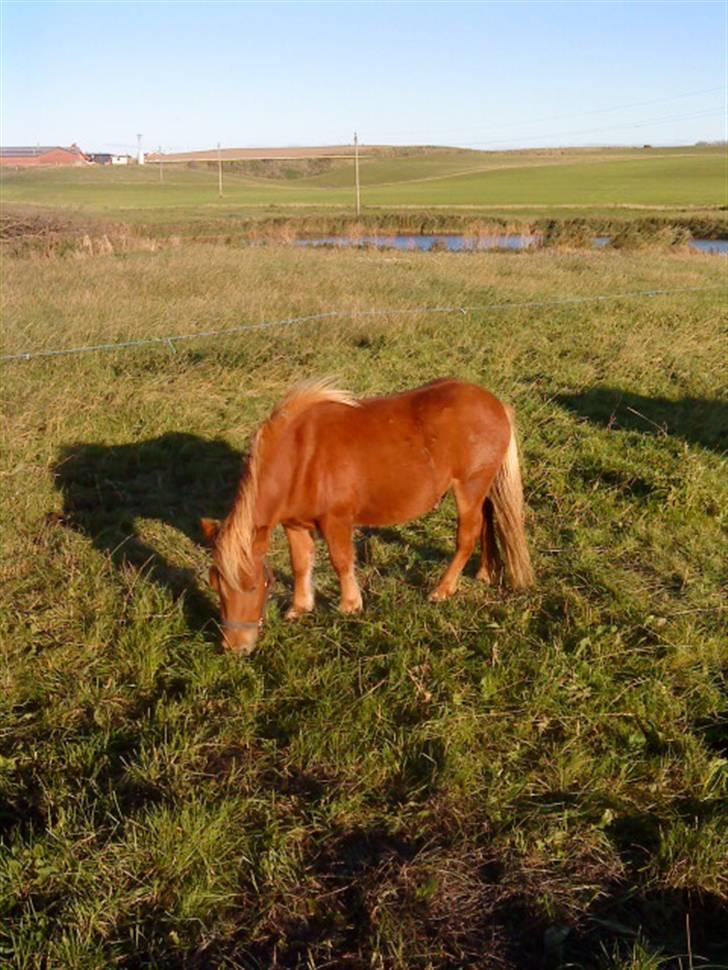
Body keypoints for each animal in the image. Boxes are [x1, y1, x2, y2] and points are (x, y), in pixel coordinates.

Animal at [202, 376, 532, 652]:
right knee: (487, 524)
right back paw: (485, 572)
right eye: (216, 585)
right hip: (481, 490)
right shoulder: (294, 525)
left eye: (253, 585)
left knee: (468, 536)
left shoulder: (336, 521)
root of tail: (496, 404)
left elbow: (341, 561)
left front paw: (350, 605)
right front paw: (300, 607)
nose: (235, 647)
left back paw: (442, 590)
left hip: (469, 489)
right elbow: (300, 564)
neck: (300, 457)